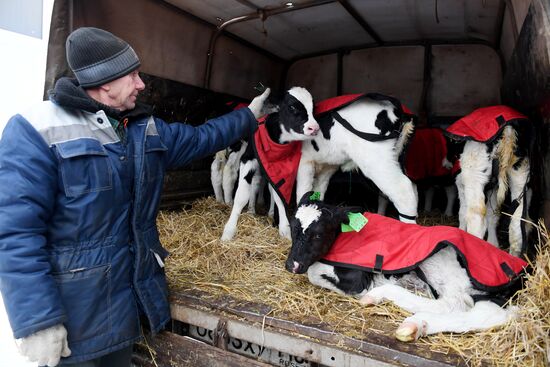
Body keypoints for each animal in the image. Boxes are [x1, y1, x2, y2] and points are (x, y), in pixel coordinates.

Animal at [222, 87, 322, 242]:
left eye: (313, 108)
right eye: (292, 107)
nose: (314, 128)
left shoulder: (277, 170)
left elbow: (278, 196)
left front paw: (284, 229)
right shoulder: (248, 159)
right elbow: (241, 195)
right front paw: (229, 230)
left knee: (261, 184)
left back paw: (260, 211)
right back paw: (242, 207)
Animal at [286, 194, 528, 344]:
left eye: (318, 234)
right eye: (293, 227)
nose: (291, 265)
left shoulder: (356, 279)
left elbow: (314, 272)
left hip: (444, 265)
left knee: (456, 305)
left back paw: (404, 315)